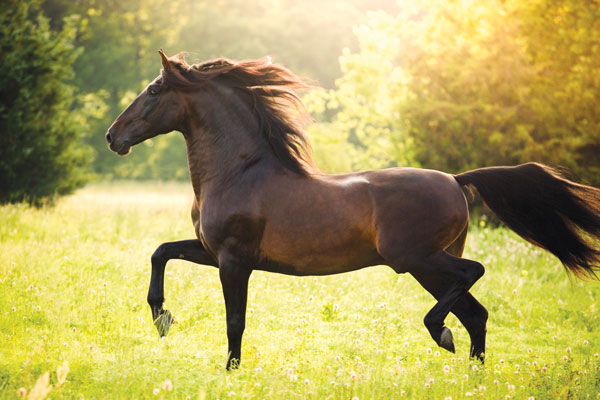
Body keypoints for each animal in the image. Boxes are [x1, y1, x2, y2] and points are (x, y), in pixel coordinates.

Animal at [105, 51, 600, 370]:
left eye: (153, 91)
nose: (113, 136)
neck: (238, 171)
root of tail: (455, 179)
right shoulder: (212, 251)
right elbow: (161, 251)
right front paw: (162, 317)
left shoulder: (233, 259)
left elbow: (235, 321)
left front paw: (230, 371)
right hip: (427, 266)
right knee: (475, 313)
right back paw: (471, 371)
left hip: (417, 258)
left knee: (471, 277)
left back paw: (440, 333)